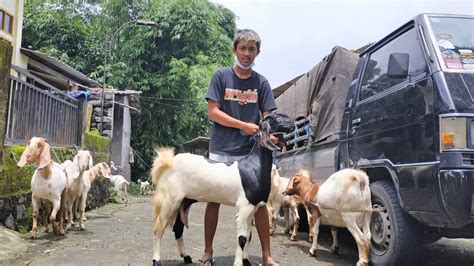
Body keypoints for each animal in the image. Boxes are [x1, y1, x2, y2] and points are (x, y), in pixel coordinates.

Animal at [150, 113, 294, 266]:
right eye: (274, 117)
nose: (292, 123)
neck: (253, 166)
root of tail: (168, 163)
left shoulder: (253, 208)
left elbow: (249, 236)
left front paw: (246, 261)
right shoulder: (244, 208)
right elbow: (242, 238)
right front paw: (238, 263)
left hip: (183, 202)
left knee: (178, 228)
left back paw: (187, 257)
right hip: (170, 200)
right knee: (159, 228)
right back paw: (156, 260)